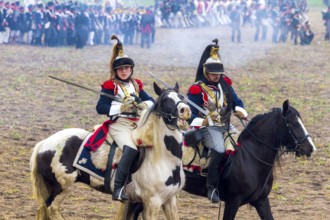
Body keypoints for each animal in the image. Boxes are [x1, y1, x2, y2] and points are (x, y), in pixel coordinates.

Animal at [30, 81, 192, 219]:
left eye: (181, 97)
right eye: (165, 101)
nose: (185, 111)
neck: (161, 158)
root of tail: (44, 143)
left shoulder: (169, 200)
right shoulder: (152, 202)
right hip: (63, 188)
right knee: (52, 209)